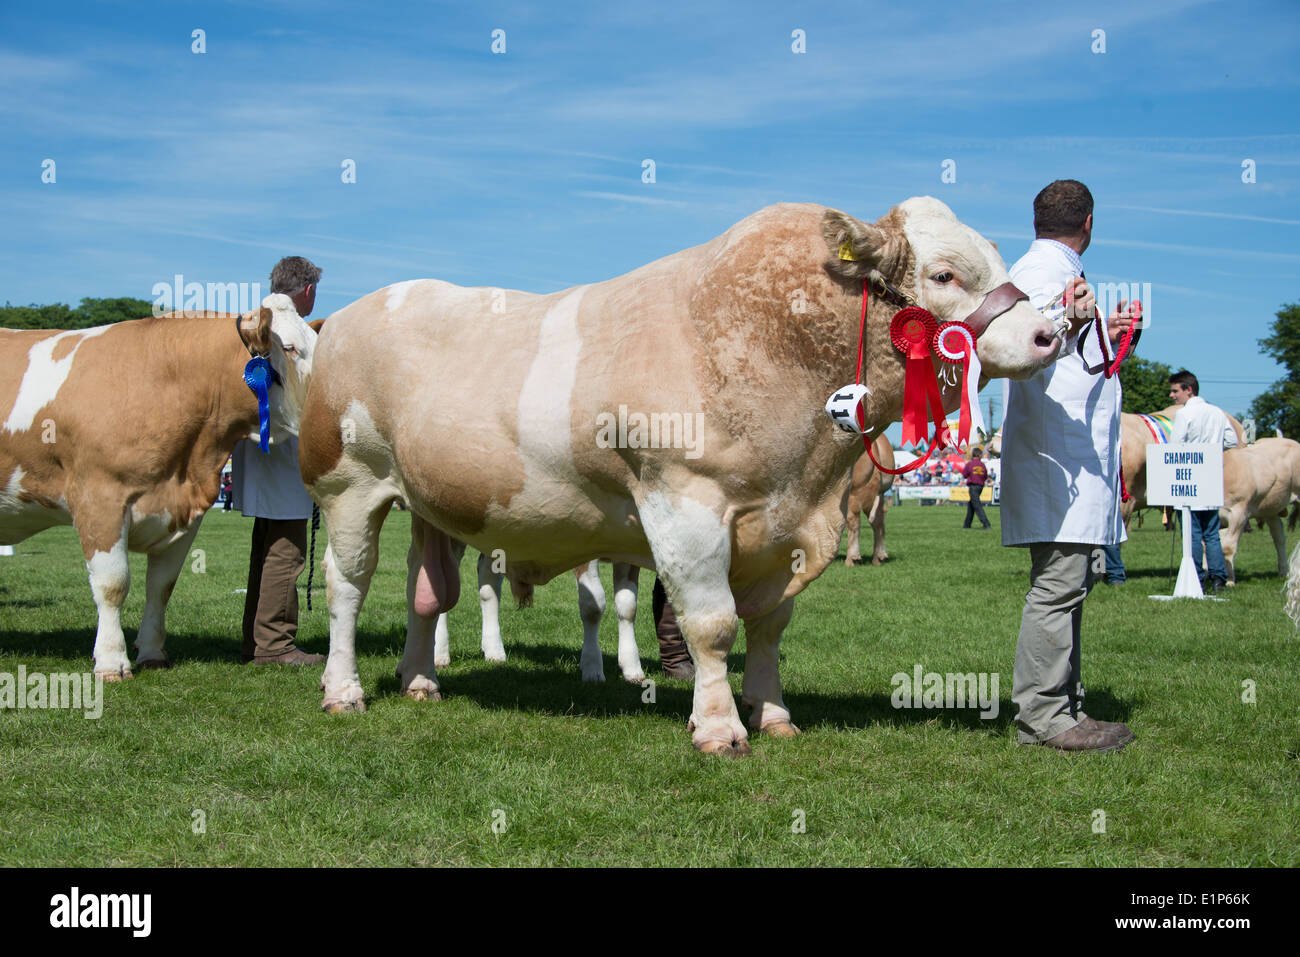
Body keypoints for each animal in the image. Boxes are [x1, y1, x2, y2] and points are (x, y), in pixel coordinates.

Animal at [0, 295, 314, 676]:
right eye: (290, 348)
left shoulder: (182, 512)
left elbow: (161, 586)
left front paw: (151, 653)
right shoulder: (99, 497)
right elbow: (113, 584)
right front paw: (111, 661)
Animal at [842, 436, 894, 564]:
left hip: (852, 492)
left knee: (853, 520)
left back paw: (852, 558)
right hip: (880, 492)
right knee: (879, 519)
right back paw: (879, 557)